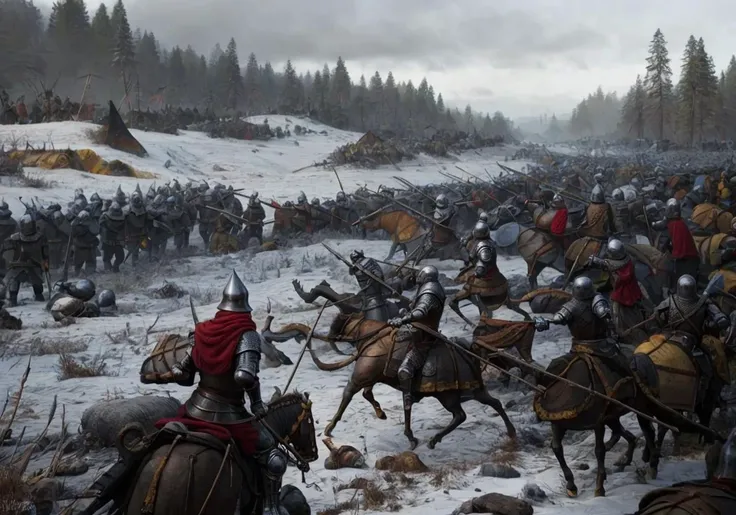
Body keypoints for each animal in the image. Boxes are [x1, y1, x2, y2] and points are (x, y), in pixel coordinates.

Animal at [266, 312, 516, 450]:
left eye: (337, 324)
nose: (328, 338)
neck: (374, 337)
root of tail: (467, 353)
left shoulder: (359, 378)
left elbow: (348, 396)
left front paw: (329, 428)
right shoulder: (371, 377)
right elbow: (368, 394)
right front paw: (381, 413)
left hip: (448, 395)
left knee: (460, 415)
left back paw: (431, 439)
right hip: (471, 391)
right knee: (492, 403)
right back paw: (511, 432)